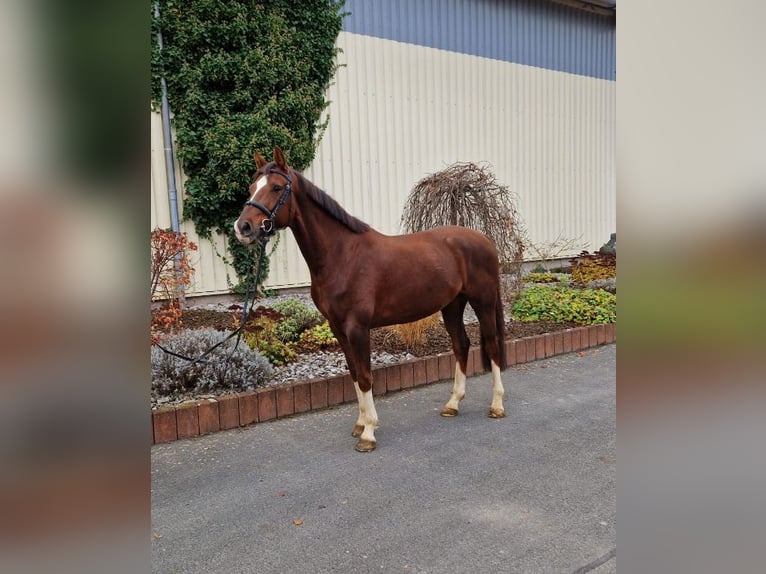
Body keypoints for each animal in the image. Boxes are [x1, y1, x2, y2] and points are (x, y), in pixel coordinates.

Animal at [237, 148, 508, 454]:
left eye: (276, 187)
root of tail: (484, 239)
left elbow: (366, 376)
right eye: (252, 188)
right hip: (452, 305)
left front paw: (368, 433)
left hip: (483, 302)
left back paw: (497, 406)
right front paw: (360, 424)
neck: (342, 256)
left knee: (492, 346)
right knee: (461, 345)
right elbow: (355, 372)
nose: (243, 227)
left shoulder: (357, 327)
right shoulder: (337, 328)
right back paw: (452, 404)